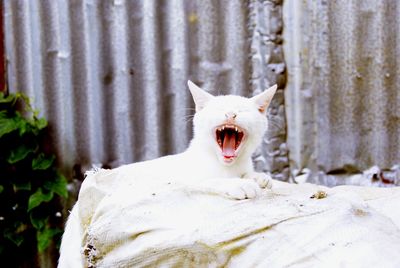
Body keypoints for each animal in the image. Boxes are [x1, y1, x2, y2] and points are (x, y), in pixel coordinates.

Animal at [57, 80, 276, 266]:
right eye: (218, 110)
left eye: (243, 110)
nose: (230, 114)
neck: (228, 165)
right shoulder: (189, 180)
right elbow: (211, 181)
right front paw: (239, 184)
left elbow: (250, 174)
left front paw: (259, 177)